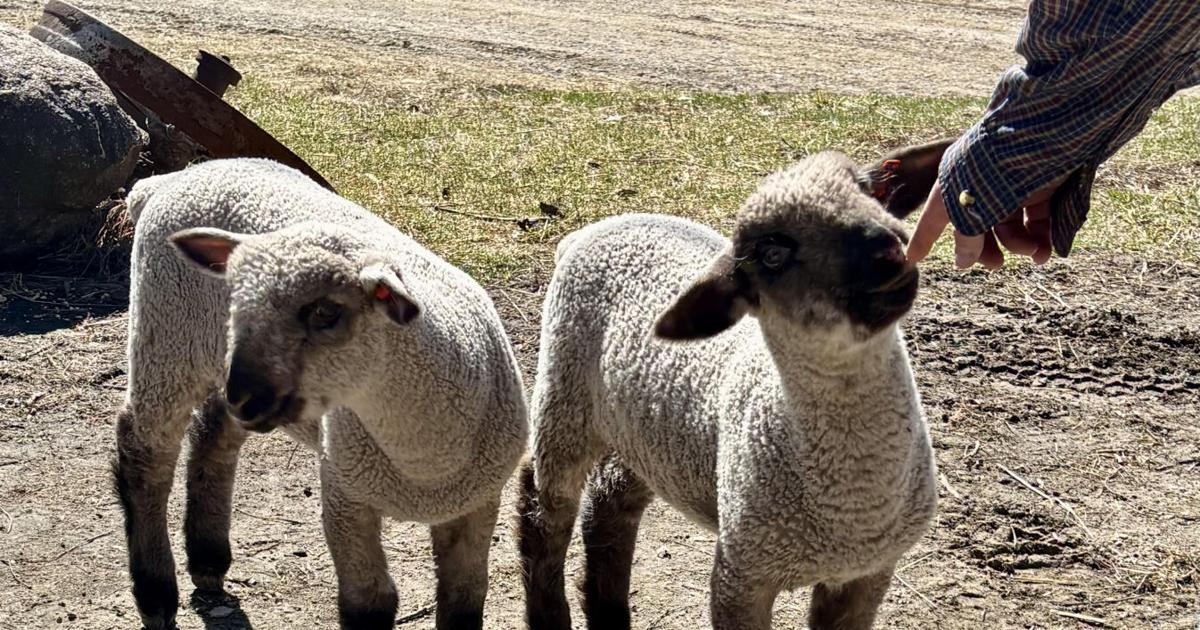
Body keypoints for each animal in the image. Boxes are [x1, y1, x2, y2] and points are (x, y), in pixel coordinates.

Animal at [114, 158, 528, 630]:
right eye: (236, 303)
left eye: (326, 312)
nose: (246, 394)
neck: (424, 459)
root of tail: (172, 178)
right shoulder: (344, 494)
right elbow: (370, 602)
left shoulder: (479, 503)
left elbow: (464, 598)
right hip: (166, 335)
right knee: (145, 453)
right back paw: (156, 596)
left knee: (214, 435)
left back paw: (207, 561)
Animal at [516, 141, 951, 630]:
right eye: (771, 254)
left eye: (869, 190)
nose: (886, 251)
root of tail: (593, 230)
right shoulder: (742, 574)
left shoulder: (869, 573)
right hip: (564, 390)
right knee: (543, 509)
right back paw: (550, 614)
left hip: (648, 436)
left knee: (609, 508)